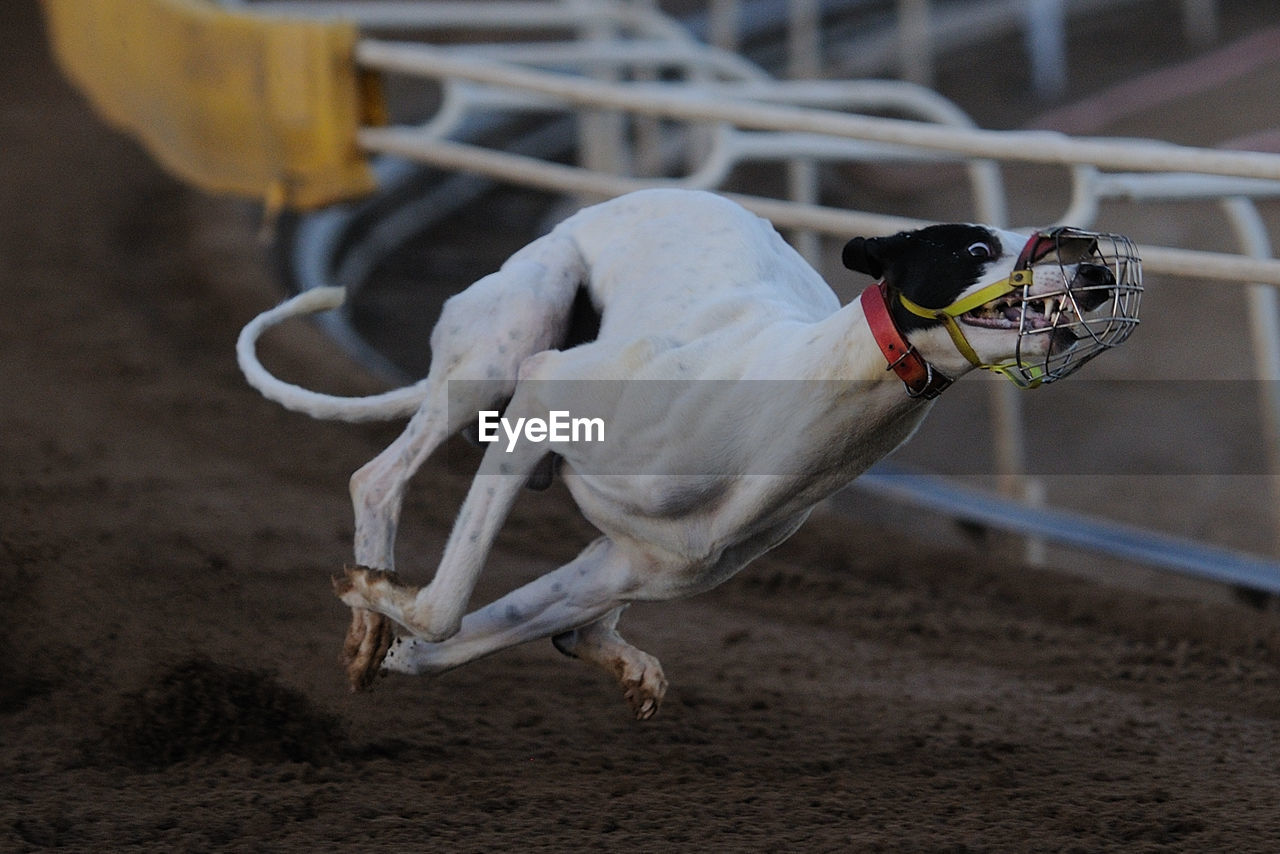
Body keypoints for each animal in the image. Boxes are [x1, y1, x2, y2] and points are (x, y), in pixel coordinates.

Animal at [240, 190, 1141, 717]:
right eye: (974, 251)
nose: (1097, 272)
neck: (789, 396)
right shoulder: (546, 398)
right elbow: (442, 607)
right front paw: (373, 604)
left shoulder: (641, 561)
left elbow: (454, 639)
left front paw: (399, 648)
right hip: (513, 330)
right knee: (377, 477)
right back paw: (368, 615)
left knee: (562, 622)